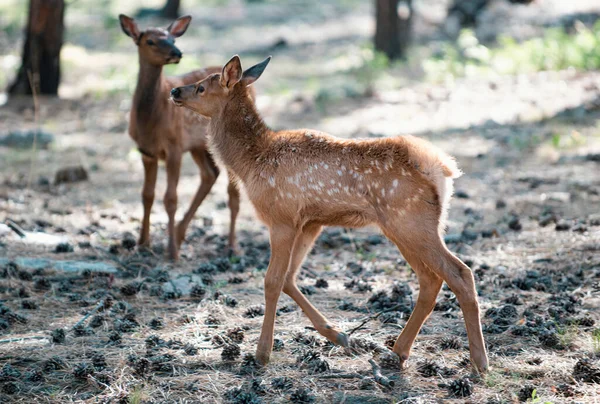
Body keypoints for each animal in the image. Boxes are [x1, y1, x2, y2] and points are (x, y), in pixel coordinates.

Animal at [118, 15, 240, 258]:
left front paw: (172, 253)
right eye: (150, 41)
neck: (151, 121)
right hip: (198, 146)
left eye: (173, 38)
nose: (177, 52)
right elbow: (147, 195)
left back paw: (231, 246)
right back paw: (180, 233)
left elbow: (170, 199)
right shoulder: (146, 151)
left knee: (232, 191)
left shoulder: (174, 145)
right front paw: (142, 244)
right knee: (210, 174)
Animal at [169, 56, 488, 372]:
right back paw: (397, 352)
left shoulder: (281, 217)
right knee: (430, 280)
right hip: (408, 227)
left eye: (201, 87)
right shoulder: (310, 222)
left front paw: (262, 354)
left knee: (459, 273)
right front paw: (340, 336)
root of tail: (443, 168)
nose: (174, 91)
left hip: (411, 222)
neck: (251, 162)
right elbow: (289, 278)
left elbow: (272, 281)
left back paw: (479, 362)